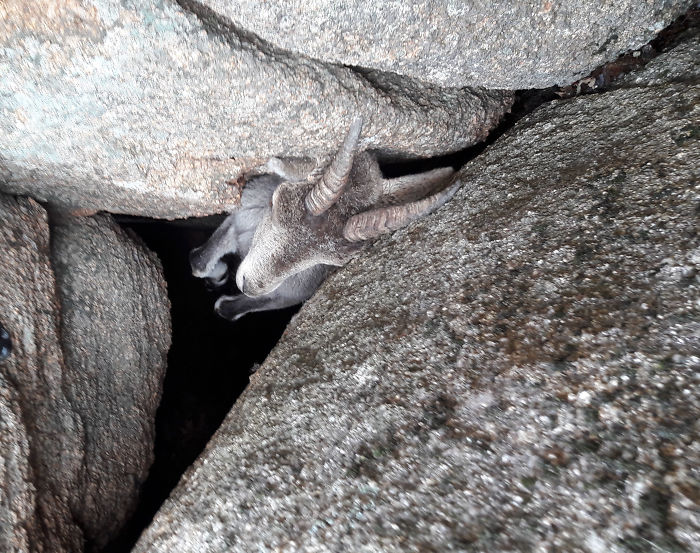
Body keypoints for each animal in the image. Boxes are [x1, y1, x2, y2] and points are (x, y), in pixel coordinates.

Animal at [191, 118, 458, 320]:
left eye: (328, 261)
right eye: (276, 203)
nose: (248, 285)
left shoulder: (290, 294)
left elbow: (227, 308)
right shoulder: (238, 218)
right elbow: (200, 262)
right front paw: (216, 272)